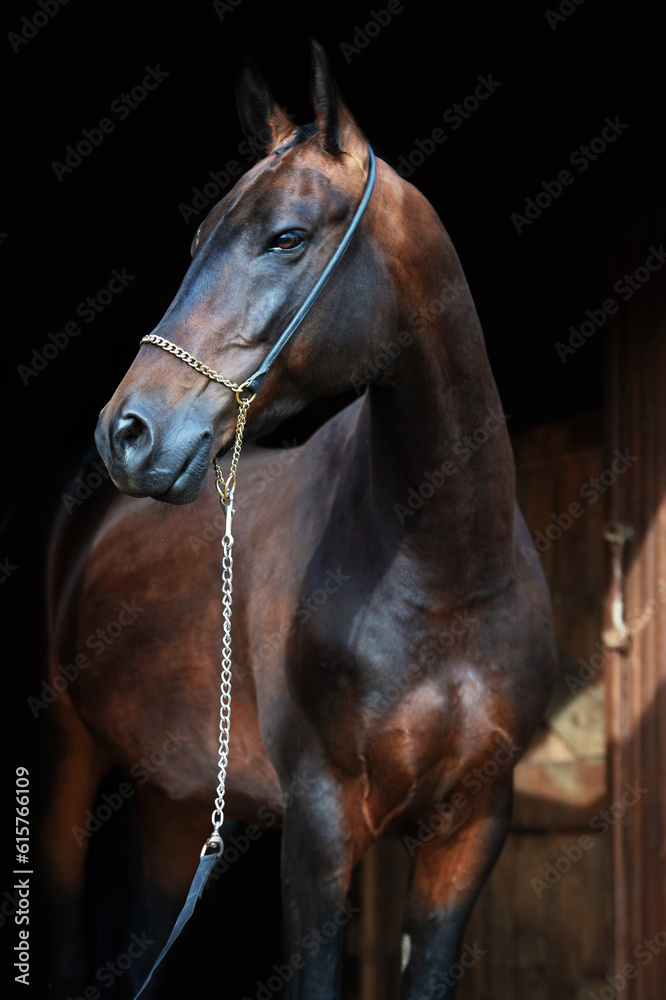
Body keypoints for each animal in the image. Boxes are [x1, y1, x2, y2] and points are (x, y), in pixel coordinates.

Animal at [41, 41, 557, 999]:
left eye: (286, 237)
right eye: (197, 242)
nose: (127, 432)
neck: (447, 570)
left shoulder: (471, 826)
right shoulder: (320, 825)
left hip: (177, 802)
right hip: (64, 758)